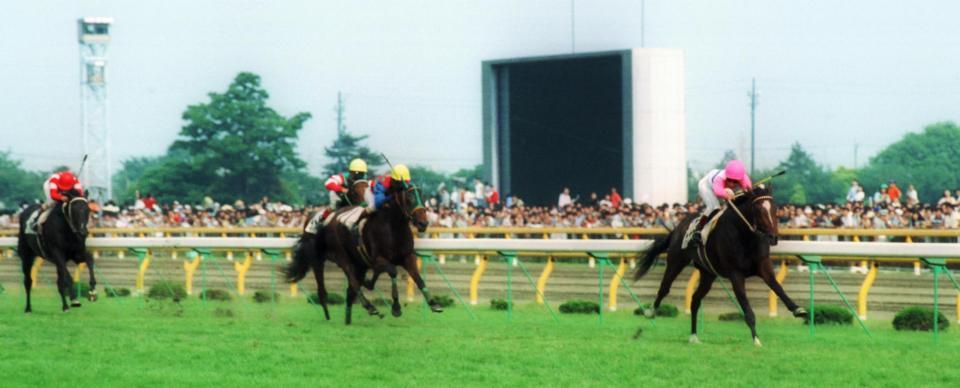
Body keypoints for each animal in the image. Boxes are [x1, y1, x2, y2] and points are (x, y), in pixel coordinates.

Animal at [632, 187, 808, 346]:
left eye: (775, 208)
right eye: (758, 210)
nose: (773, 237)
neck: (746, 236)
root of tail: (677, 228)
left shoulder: (763, 266)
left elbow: (777, 287)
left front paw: (798, 309)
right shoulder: (736, 274)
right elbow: (746, 306)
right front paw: (756, 339)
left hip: (708, 274)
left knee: (695, 299)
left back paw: (694, 336)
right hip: (676, 261)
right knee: (664, 288)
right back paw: (650, 311)